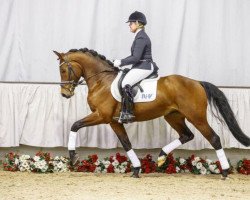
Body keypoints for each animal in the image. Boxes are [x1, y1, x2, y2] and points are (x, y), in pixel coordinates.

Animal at [54, 48, 250, 178]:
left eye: (63, 70)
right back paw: (162, 157)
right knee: (187, 135)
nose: (65, 94)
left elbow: (75, 125)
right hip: (173, 116)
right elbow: (126, 143)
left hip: (196, 117)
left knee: (214, 138)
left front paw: (73, 157)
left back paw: (225, 171)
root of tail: (197, 82)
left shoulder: (102, 116)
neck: (101, 81)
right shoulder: (114, 121)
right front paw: (136, 169)